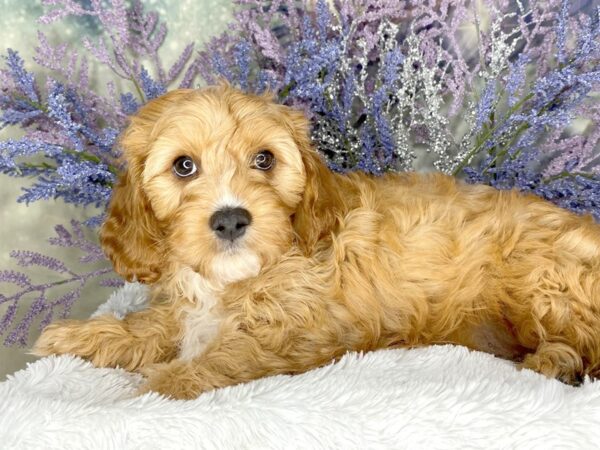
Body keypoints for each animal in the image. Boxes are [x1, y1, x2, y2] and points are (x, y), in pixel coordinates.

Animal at [34, 83, 600, 398]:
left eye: (264, 159)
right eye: (183, 167)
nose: (231, 220)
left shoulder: (305, 333)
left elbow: (229, 356)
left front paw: (162, 386)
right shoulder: (189, 305)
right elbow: (154, 323)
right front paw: (85, 336)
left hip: (543, 281)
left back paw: (552, 363)